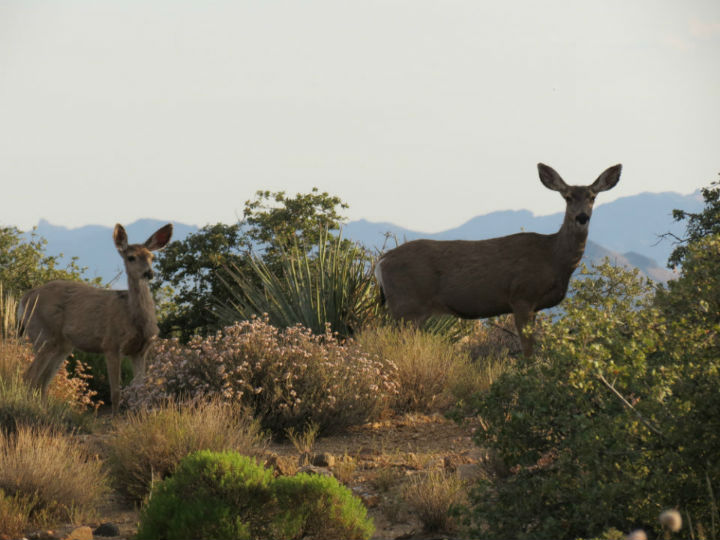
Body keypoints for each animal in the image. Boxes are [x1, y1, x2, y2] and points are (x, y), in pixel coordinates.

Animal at [19, 223, 172, 414]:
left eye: (152, 257)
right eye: (131, 257)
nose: (148, 273)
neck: (133, 317)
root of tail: (25, 298)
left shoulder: (140, 351)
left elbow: (141, 390)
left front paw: (141, 417)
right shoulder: (111, 344)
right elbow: (116, 392)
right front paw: (116, 419)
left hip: (62, 345)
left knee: (43, 380)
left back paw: (44, 411)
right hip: (43, 333)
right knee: (29, 376)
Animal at [374, 163, 620, 358]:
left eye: (592, 197)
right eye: (567, 197)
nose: (582, 217)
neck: (553, 258)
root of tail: (381, 262)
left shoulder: (535, 305)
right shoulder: (521, 296)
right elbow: (528, 351)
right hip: (405, 305)